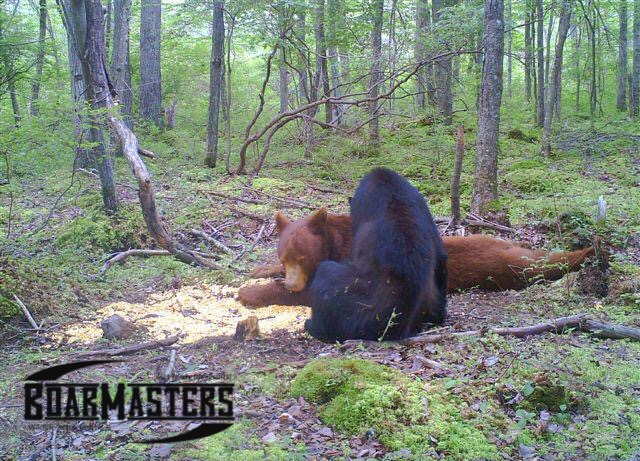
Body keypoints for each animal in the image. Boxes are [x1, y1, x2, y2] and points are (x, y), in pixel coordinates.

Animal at [237, 214, 596, 309]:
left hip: (507, 263)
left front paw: (251, 292)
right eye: (284, 256)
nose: (292, 282)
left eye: (303, 256)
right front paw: (260, 269)